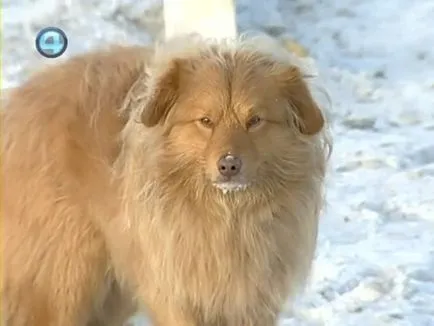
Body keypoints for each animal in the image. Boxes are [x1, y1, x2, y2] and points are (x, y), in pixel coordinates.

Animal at [1, 34, 330, 324]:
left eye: (255, 121)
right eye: (206, 121)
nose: (229, 165)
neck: (228, 217)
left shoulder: (252, 299)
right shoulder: (173, 293)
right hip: (64, 282)